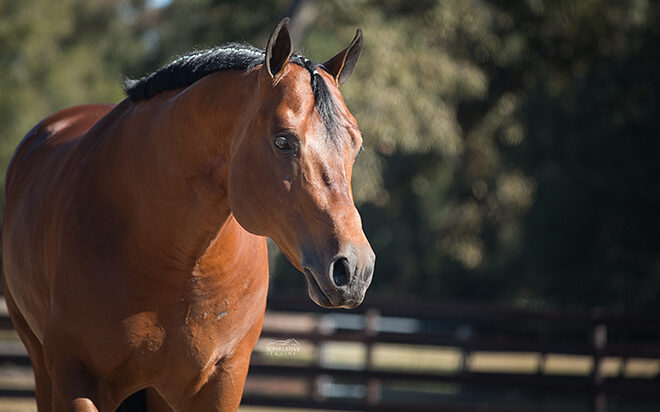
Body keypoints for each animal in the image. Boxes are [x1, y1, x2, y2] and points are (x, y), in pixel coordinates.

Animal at [3, 20, 376, 412]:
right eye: (283, 141)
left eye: (356, 144)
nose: (353, 268)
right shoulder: (75, 375)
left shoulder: (222, 380)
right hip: (42, 366)